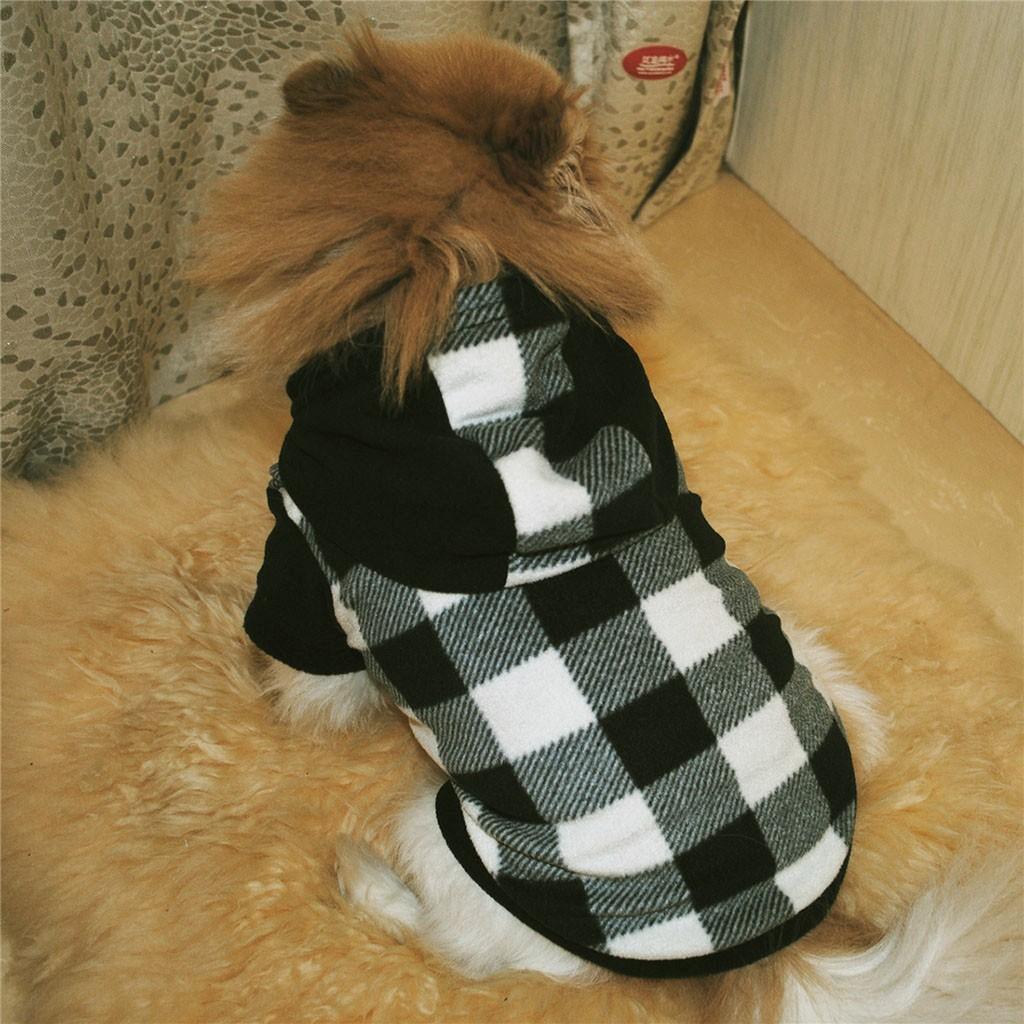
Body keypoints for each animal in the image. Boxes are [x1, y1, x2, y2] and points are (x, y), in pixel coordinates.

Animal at [190, 29, 881, 983]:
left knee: (448, 945)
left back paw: (361, 875)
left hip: (447, 835)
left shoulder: (303, 550)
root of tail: (773, 942)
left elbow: (299, 672)